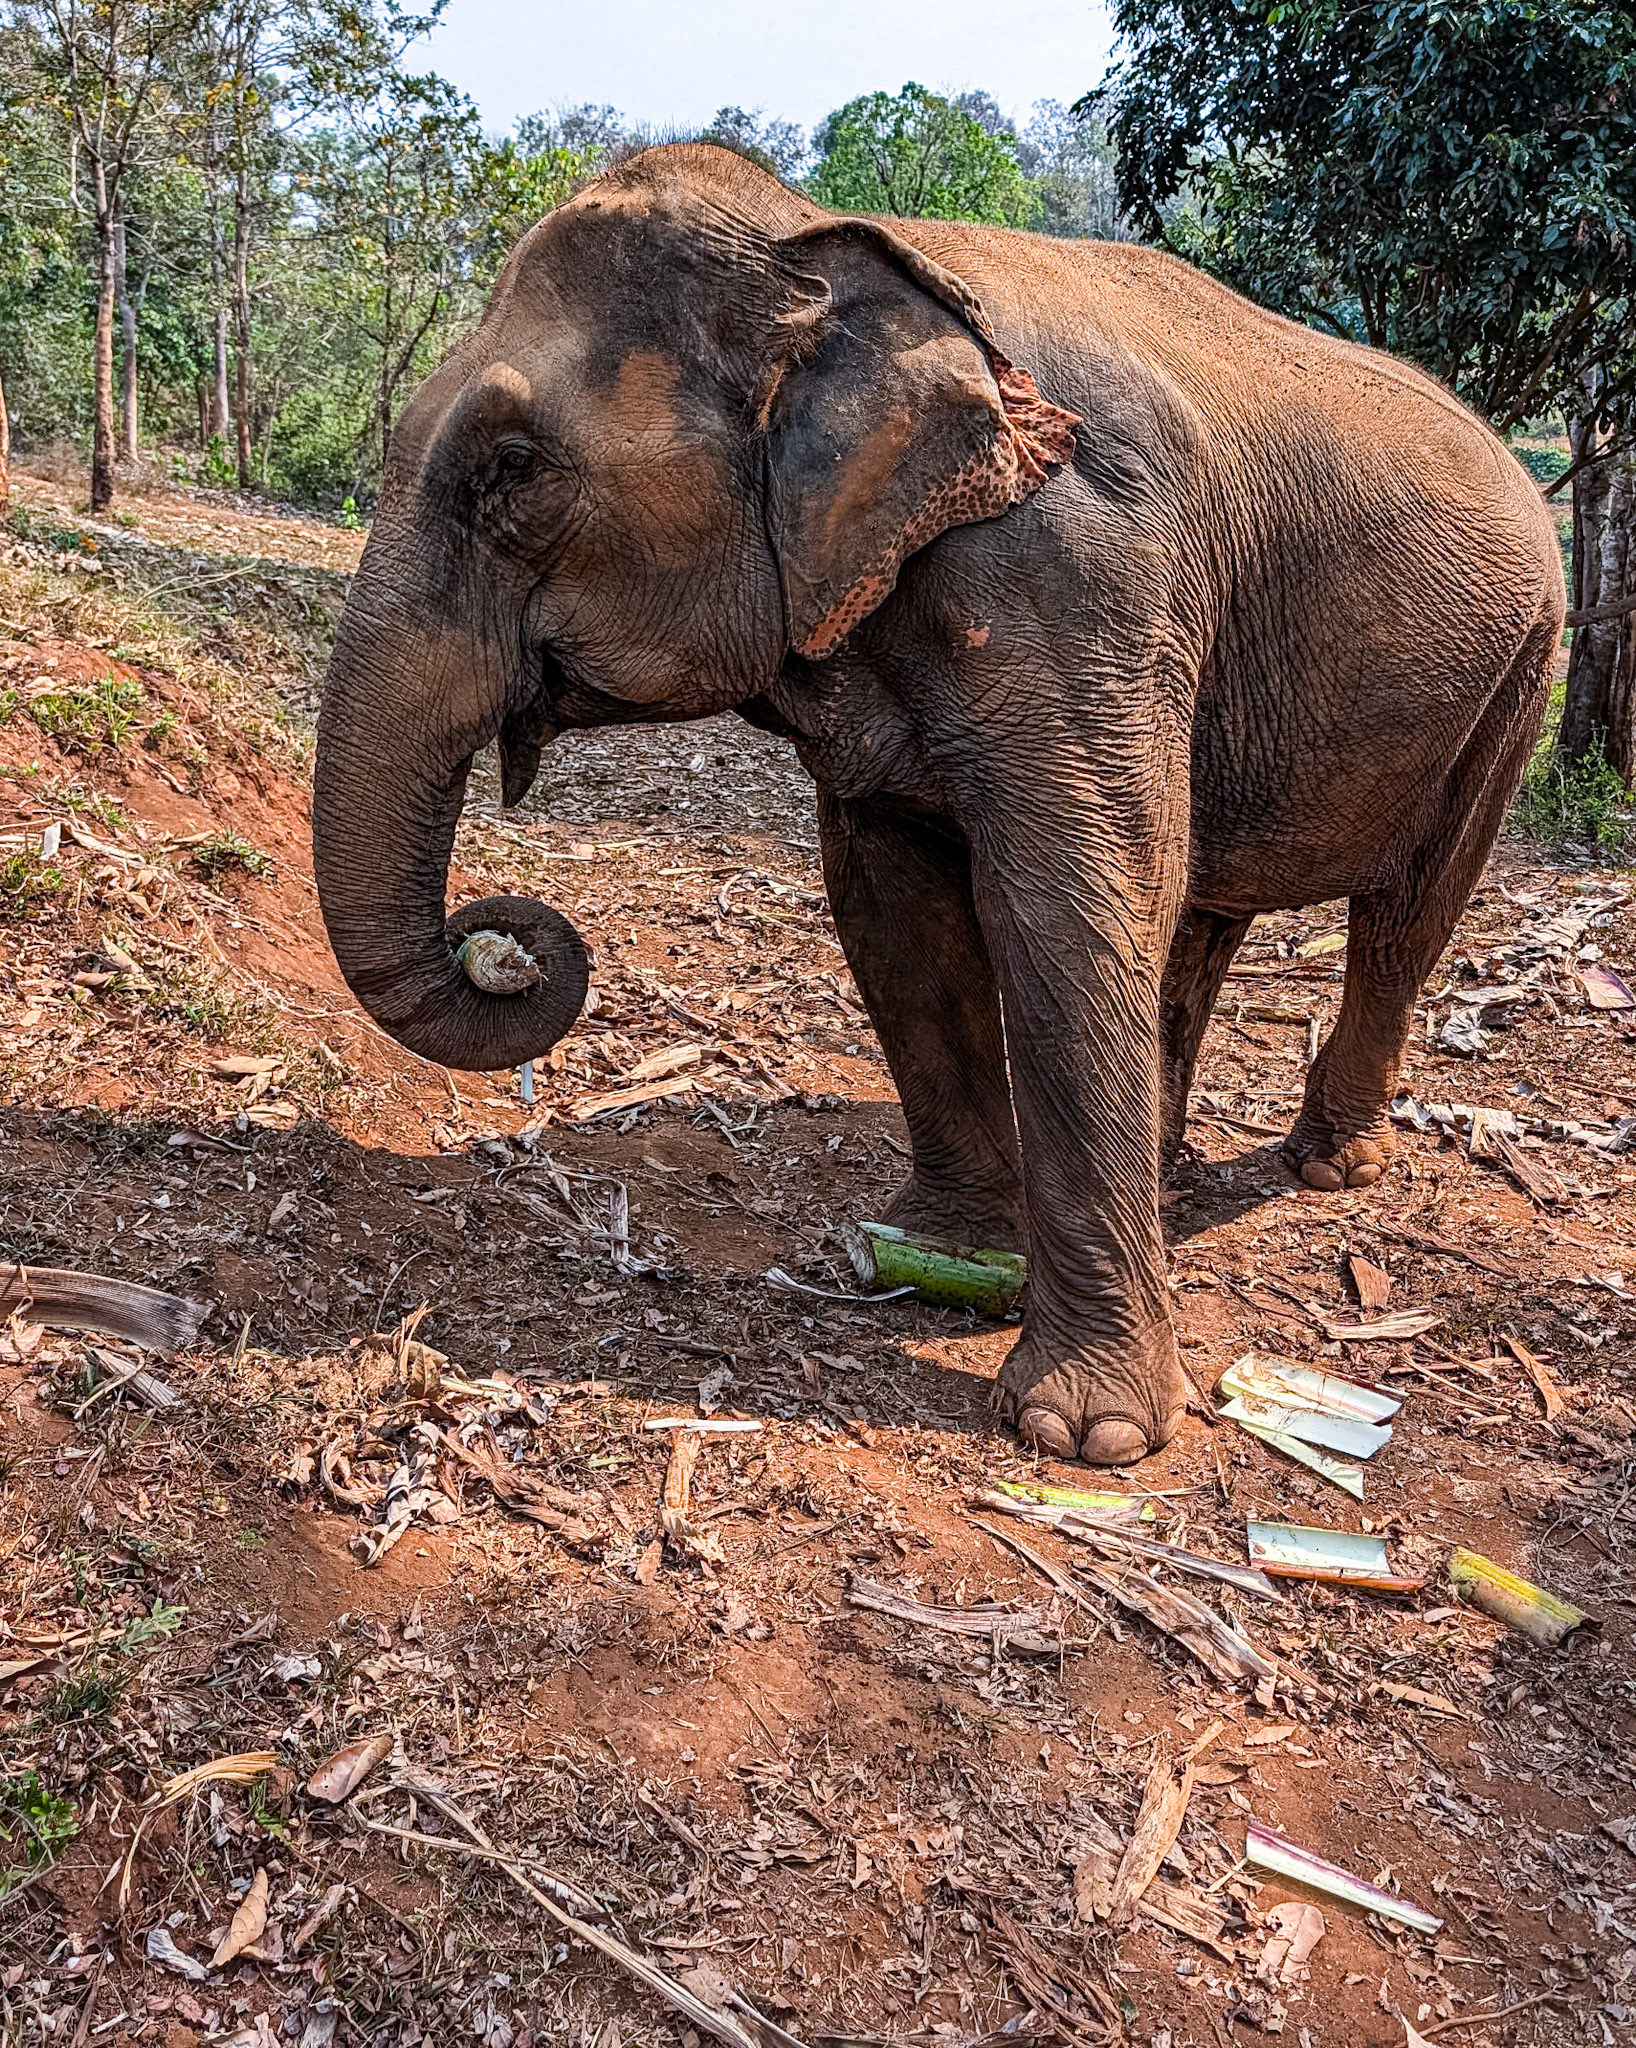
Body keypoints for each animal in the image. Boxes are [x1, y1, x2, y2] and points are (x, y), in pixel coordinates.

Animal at [312, 143, 1565, 1467]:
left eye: (511, 469)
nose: (497, 938)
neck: (823, 244)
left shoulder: (1079, 578)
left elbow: (1069, 903)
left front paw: (1085, 1435)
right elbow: (893, 904)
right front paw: (947, 1255)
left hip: (1520, 671)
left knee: (1405, 912)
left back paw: (1331, 1166)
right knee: (1202, 913)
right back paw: (1167, 1166)